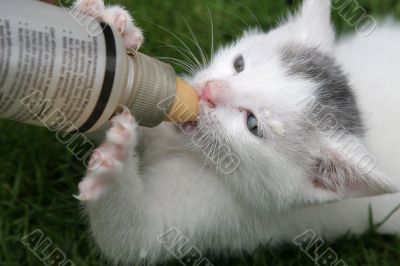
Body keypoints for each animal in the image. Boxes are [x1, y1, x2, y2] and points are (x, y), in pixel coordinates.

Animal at [72, 0, 400, 264]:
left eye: (252, 124)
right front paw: (109, 26)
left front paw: (114, 162)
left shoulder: (231, 215)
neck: (188, 149)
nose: (207, 92)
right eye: (239, 63)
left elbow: (134, 241)